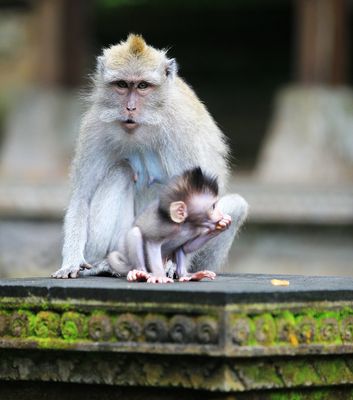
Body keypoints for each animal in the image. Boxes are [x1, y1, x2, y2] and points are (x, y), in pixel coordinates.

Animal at [51, 33, 248, 278]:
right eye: (122, 84)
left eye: (143, 85)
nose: (130, 108)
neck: (145, 127)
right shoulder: (94, 128)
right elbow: (82, 197)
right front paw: (72, 262)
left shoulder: (183, 132)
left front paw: (176, 265)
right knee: (121, 171)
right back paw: (105, 265)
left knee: (236, 206)